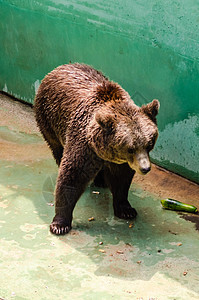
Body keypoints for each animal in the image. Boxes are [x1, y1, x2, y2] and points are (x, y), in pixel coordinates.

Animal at [33, 63, 159, 237]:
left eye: (149, 144)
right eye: (131, 148)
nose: (145, 168)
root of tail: (62, 66)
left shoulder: (121, 162)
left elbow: (121, 180)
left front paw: (126, 209)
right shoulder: (83, 145)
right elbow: (71, 176)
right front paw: (60, 224)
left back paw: (101, 181)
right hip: (49, 120)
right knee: (57, 149)